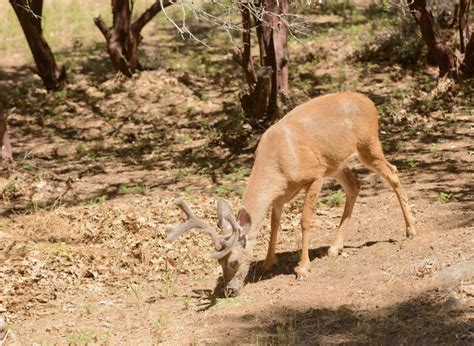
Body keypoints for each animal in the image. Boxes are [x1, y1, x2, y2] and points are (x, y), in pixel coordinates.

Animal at [167, 92, 414, 298]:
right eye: (219, 263)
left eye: (235, 261)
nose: (229, 291)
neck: (277, 166)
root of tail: (369, 101)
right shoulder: (280, 195)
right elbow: (274, 225)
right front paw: (268, 262)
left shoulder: (315, 175)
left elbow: (304, 220)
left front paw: (303, 268)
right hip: (336, 163)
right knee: (354, 185)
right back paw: (335, 248)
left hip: (367, 145)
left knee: (393, 172)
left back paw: (410, 230)